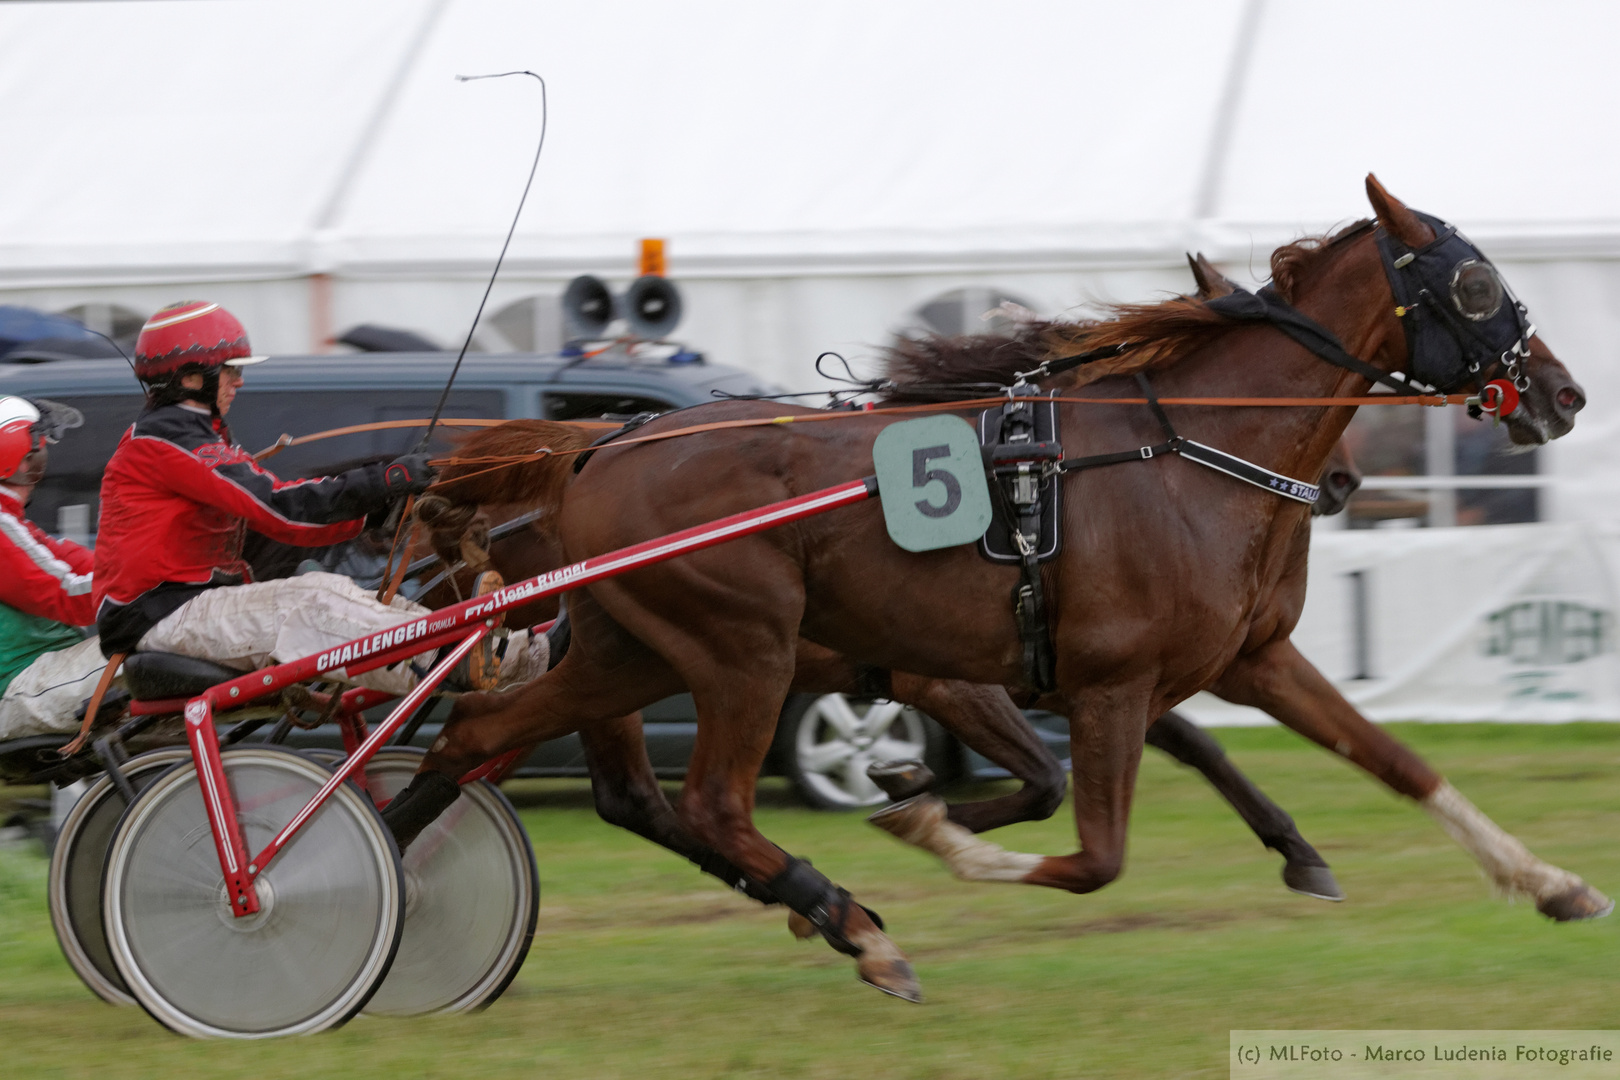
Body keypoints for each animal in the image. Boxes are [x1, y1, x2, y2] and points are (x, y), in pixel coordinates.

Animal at [392, 177, 1607, 1003]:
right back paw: (853, 925)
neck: (1186, 454)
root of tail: (595, 450)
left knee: (490, 740)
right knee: (709, 805)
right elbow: (1091, 853)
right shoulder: (1097, 681)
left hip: (631, 652)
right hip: (744, 649)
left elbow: (1398, 764)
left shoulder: (1248, 659)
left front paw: (1550, 884)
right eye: (1477, 283)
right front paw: (928, 824)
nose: (1563, 392)